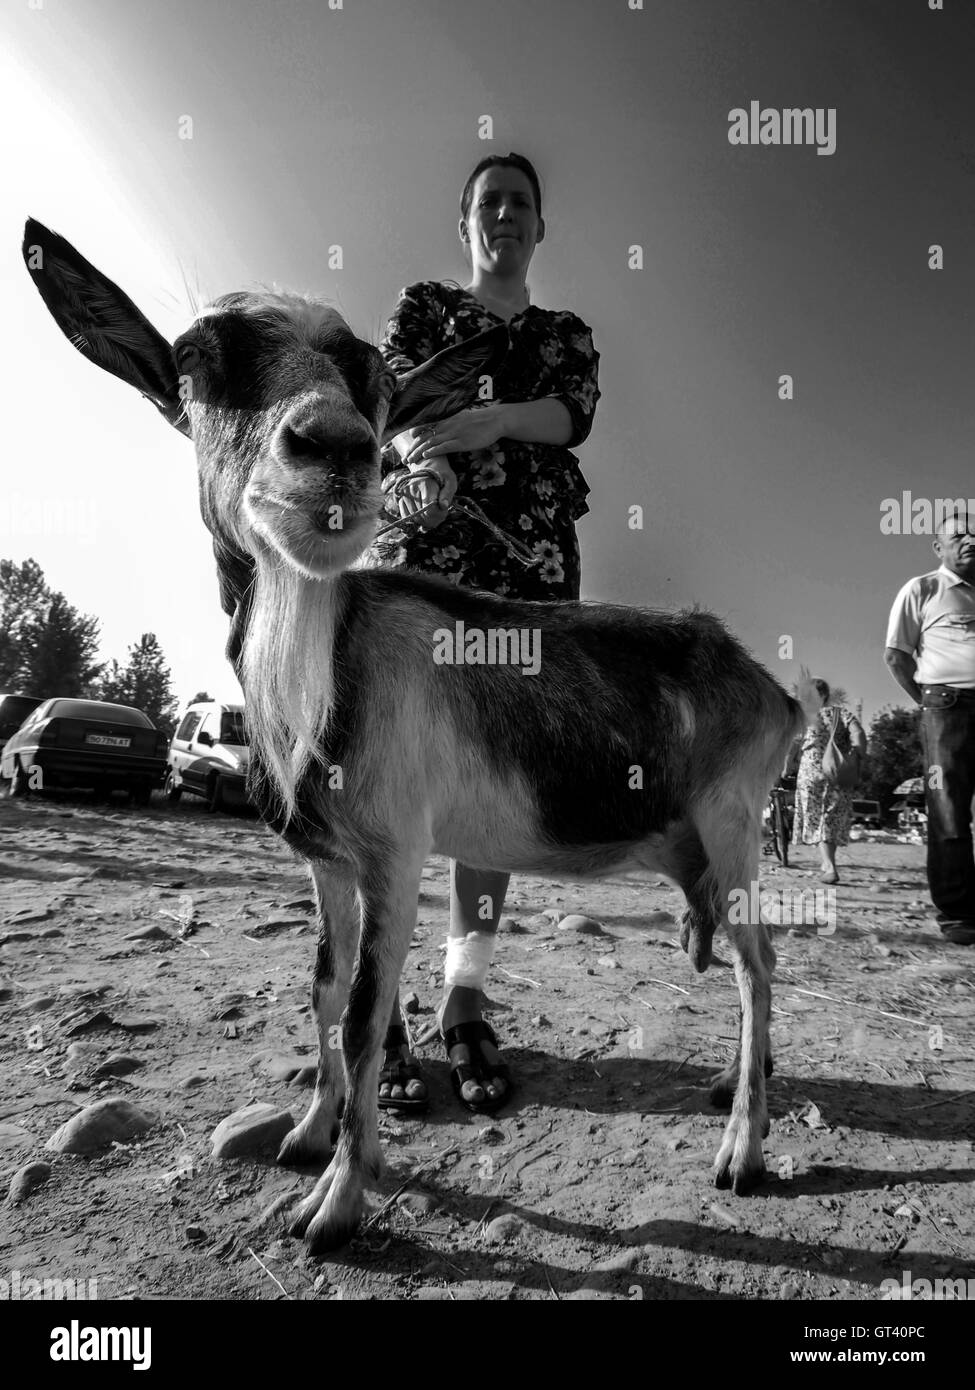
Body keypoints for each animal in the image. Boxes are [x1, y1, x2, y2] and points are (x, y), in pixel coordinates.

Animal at [20, 216, 812, 1251]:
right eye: (195, 360)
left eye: (376, 381)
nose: (335, 449)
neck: (324, 670)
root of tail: (773, 688)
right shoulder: (328, 861)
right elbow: (325, 988)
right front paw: (309, 1134)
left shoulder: (396, 851)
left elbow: (363, 1013)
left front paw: (336, 1205)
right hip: (696, 845)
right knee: (737, 959)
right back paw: (728, 1084)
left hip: (734, 818)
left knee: (758, 965)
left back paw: (742, 1153)